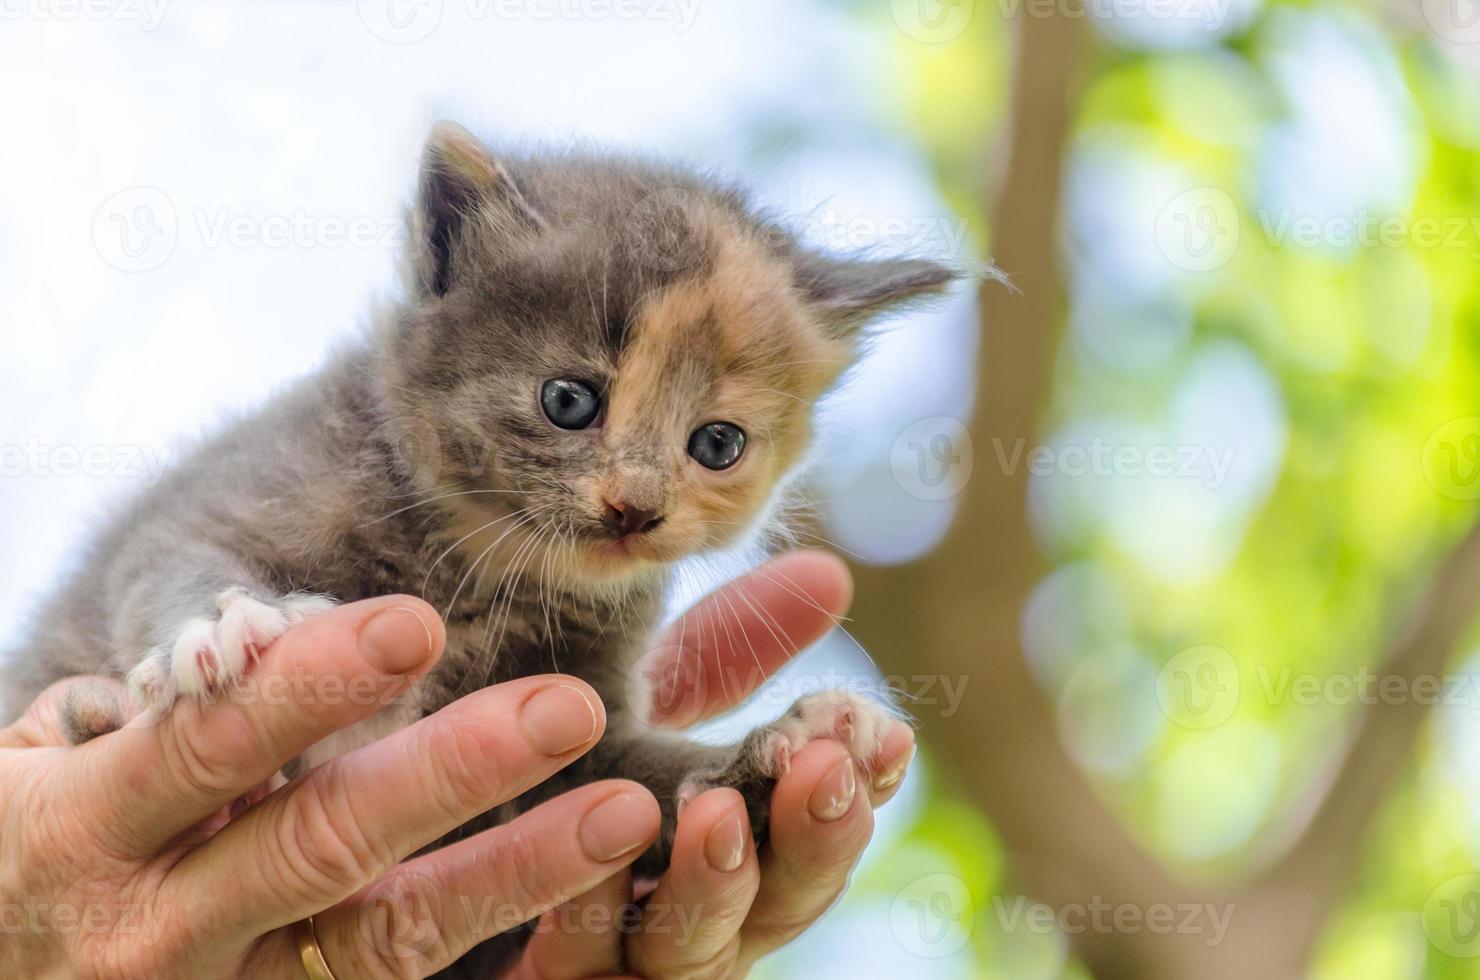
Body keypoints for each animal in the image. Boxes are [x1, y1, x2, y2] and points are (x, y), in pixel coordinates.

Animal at [5, 126, 953, 977]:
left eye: (718, 444)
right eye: (568, 400)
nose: (635, 508)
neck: (478, 566)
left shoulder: (585, 730)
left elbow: (639, 784)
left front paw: (785, 742)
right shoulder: (219, 496)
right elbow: (167, 562)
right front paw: (227, 625)